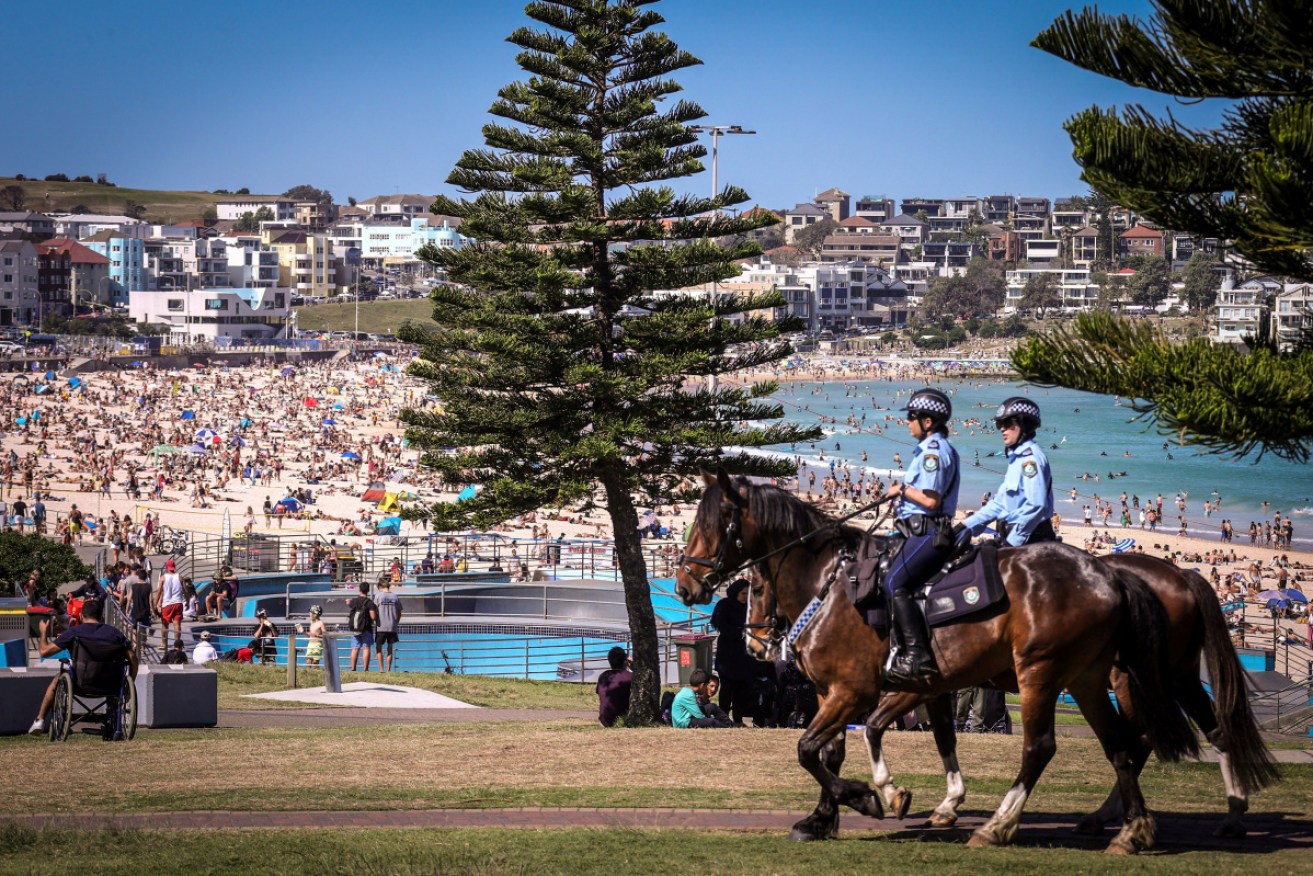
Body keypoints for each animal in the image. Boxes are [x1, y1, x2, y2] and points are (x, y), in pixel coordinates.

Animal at [677, 472, 1202, 856]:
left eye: (714, 522)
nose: (685, 586)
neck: (831, 585)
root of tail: (1107, 573)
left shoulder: (859, 691)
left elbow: (811, 749)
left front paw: (871, 797)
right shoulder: (838, 692)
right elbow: (832, 752)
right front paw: (823, 818)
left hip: (1042, 674)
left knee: (1042, 748)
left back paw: (999, 826)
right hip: (1087, 679)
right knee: (1120, 746)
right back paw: (1130, 830)